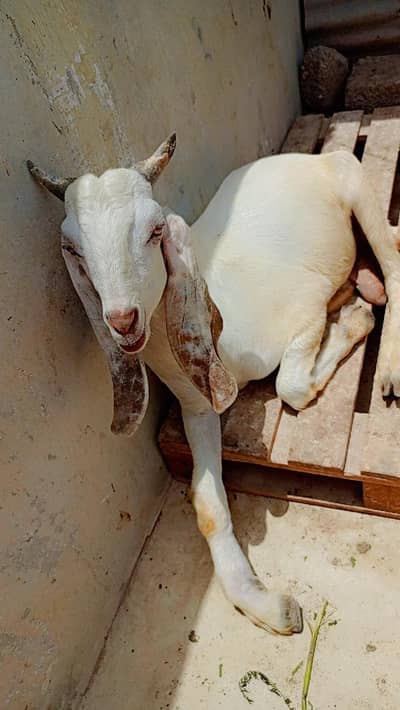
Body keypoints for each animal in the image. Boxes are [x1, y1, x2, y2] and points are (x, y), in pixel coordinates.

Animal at [28, 134, 400, 635]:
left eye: (155, 231)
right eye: (73, 249)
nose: (123, 321)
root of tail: (310, 158)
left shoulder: (306, 307)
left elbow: (290, 386)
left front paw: (355, 322)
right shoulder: (196, 405)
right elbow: (206, 506)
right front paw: (267, 605)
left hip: (356, 185)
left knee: (394, 264)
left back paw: (386, 362)